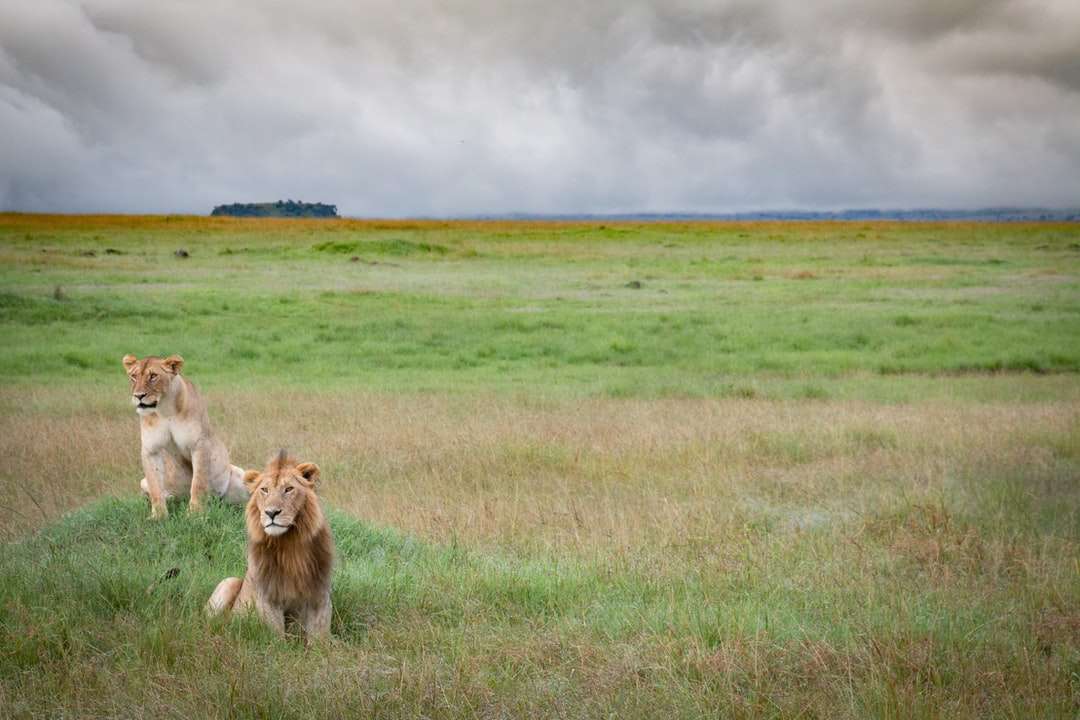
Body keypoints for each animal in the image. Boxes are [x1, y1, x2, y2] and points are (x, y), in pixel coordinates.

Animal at [123, 354, 247, 518]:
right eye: (133, 376)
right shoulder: (151, 450)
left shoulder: (199, 444)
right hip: (143, 482)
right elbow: (155, 486)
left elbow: (198, 482)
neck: (165, 410)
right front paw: (158, 516)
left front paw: (194, 513)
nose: (138, 396)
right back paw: (169, 498)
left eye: (153, 376)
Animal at [204, 451, 332, 643]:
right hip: (229, 582)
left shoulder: (320, 594)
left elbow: (320, 637)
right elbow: (276, 637)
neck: (289, 544)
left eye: (289, 489)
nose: (271, 513)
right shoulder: (268, 596)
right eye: (264, 490)